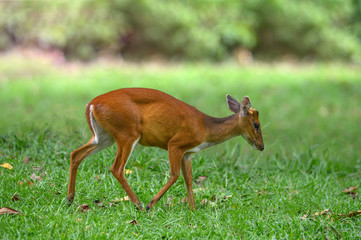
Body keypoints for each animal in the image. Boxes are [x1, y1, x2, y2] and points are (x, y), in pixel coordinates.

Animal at [67, 87, 262, 210]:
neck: (205, 128)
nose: (261, 146)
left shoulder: (188, 153)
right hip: (127, 133)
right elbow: (175, 175)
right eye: (257, 125)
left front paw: (193, 208)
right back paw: (139, 205)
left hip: (103, 137)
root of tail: (91, 104)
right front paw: (151, 204)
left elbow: (189, 180)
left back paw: (70, 199)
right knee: (117, 168)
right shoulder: (175, 144)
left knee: (75, 154)